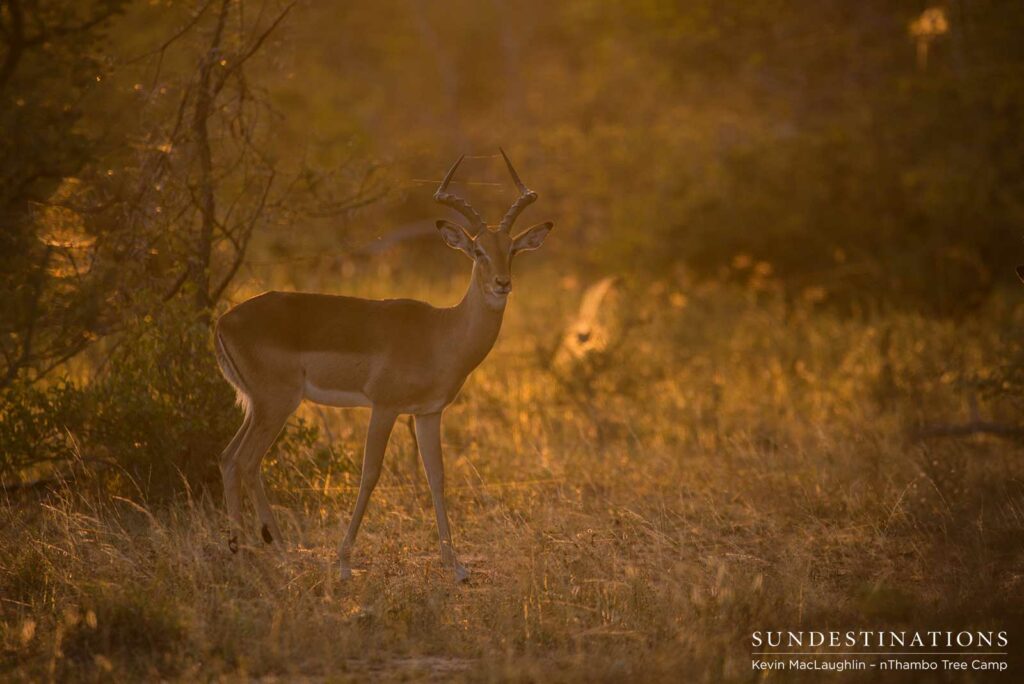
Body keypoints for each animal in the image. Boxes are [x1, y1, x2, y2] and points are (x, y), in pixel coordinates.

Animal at [213, 150, 553, 581]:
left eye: (511, 249)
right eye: (478, 251)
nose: (502, 284)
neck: (441, 333)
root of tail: (223, 322)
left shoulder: (428, 413)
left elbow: (437, 477)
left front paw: (456, 566)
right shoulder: (384, 406)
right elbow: (370, 475)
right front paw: (343, 563)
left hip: (259, 406)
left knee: (231, 459)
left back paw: (261, 550)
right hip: (275, 404)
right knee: (245, 460)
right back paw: (255, 555)